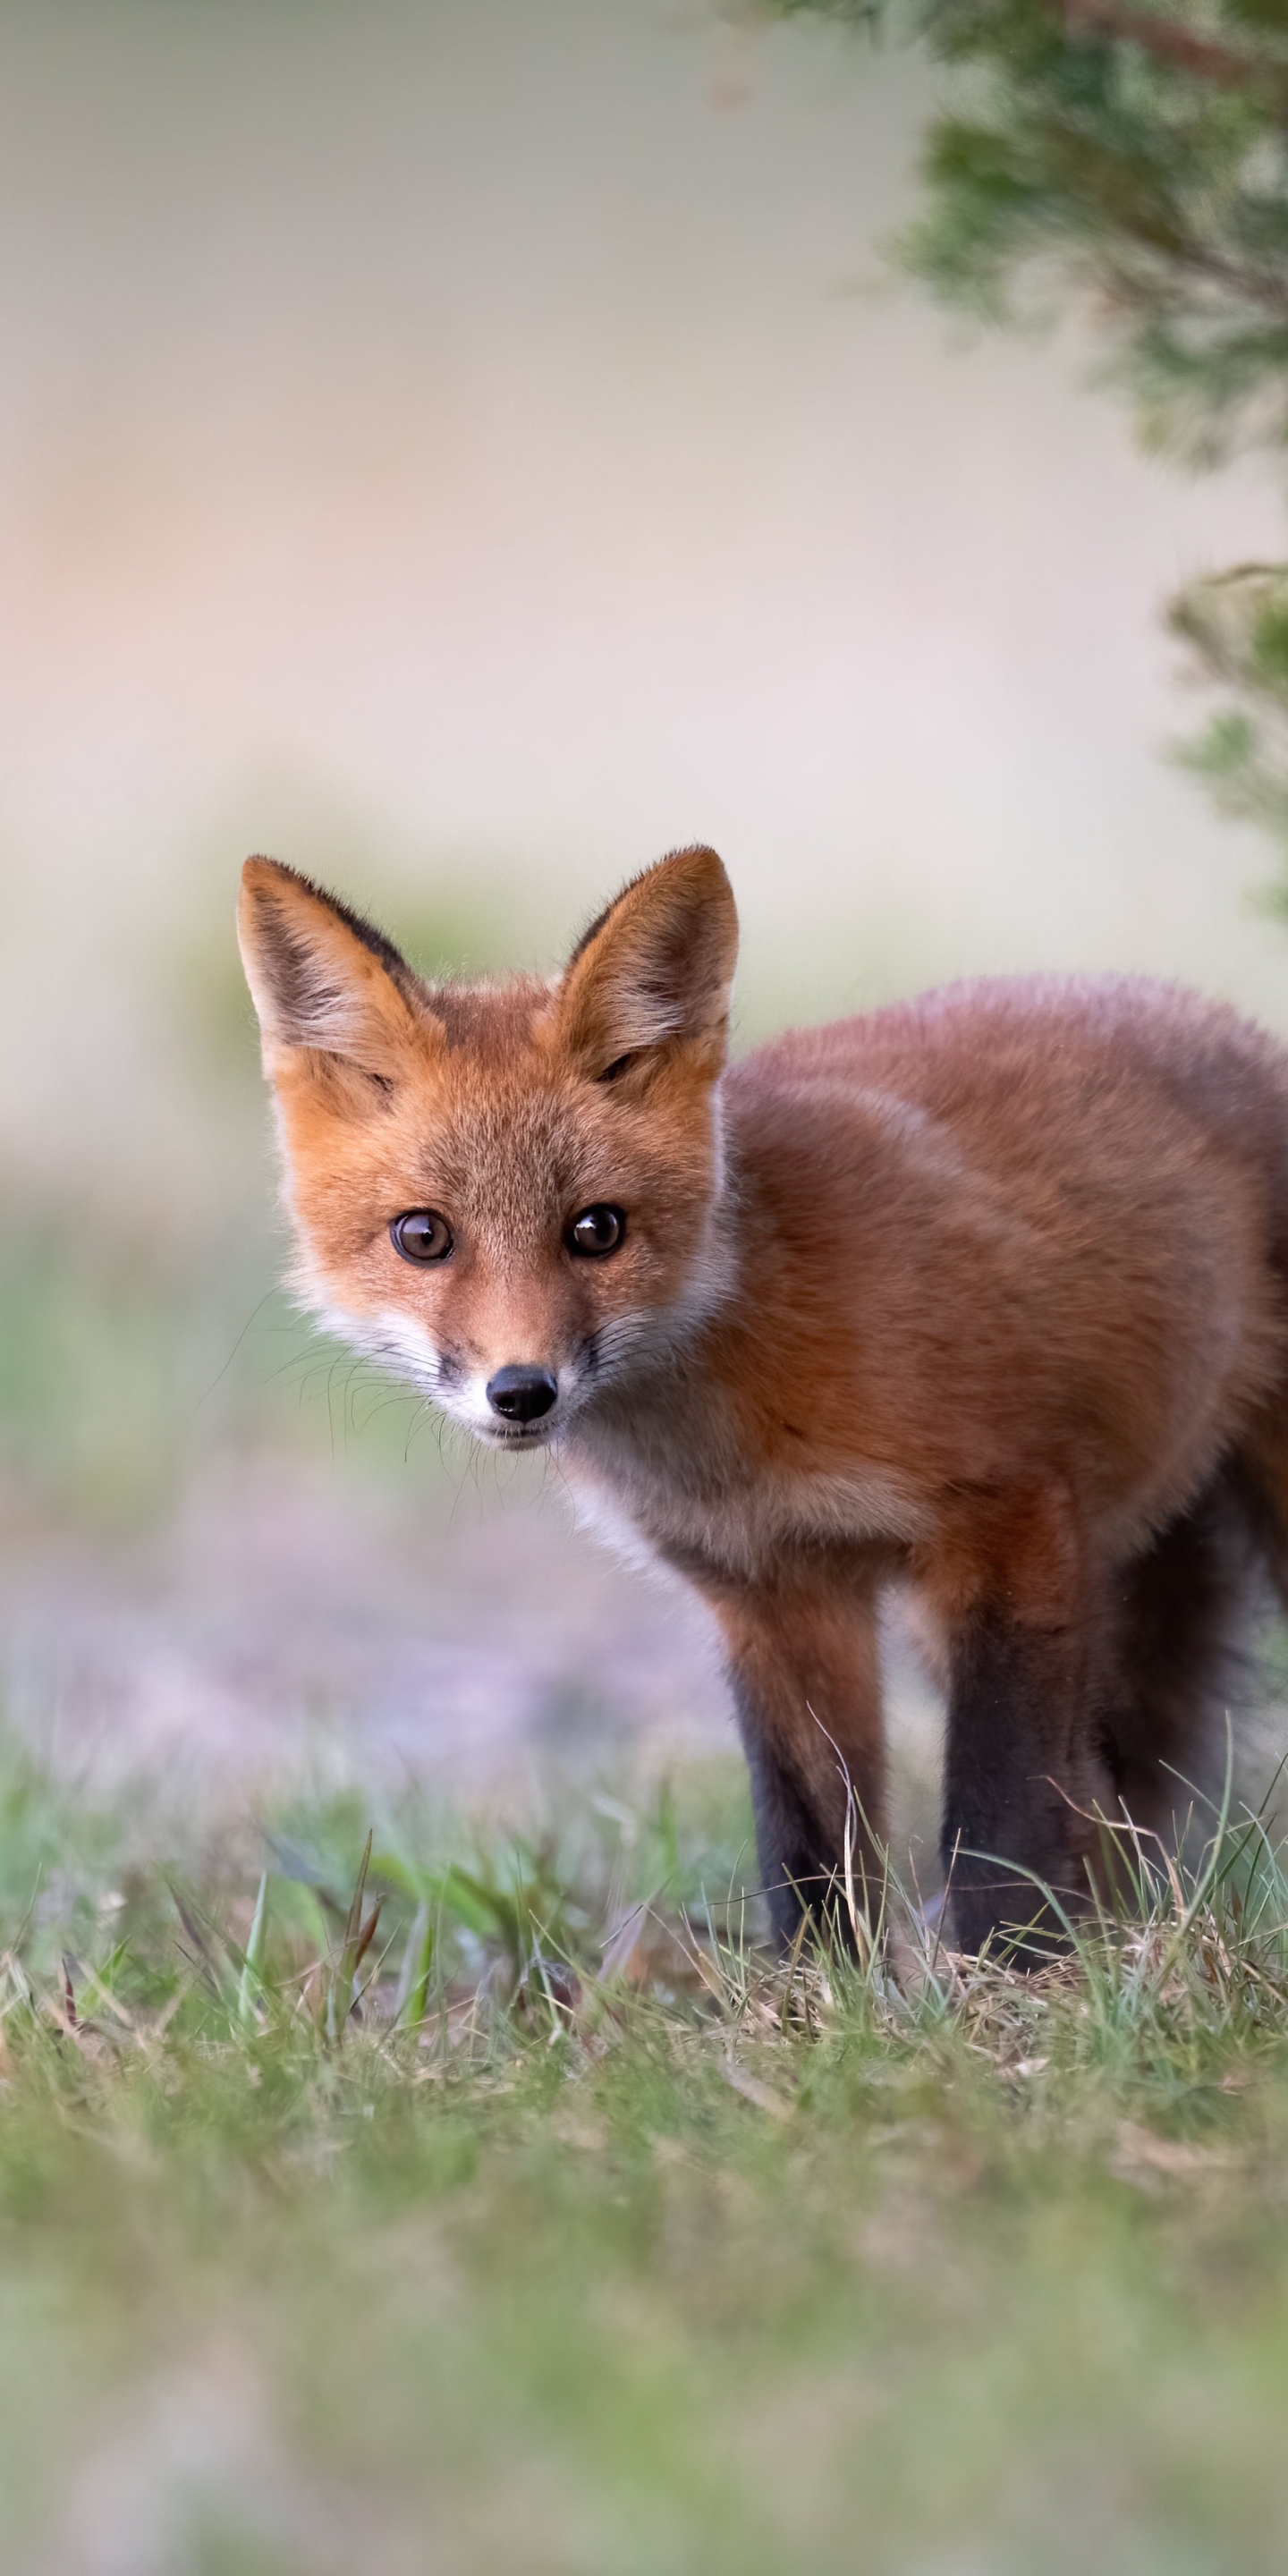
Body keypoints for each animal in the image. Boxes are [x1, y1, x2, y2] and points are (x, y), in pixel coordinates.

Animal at [234, 844, 1288, 1947]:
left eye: (596, 1229)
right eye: (423, 1236)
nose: (520, 1392)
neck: (737, 1432)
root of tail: (1220, 1018)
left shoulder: (1011, 1520)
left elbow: (998, 1816)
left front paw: (1008, 1975)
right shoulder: (773, 1590)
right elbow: (808, 1845)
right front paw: (820, 1989)